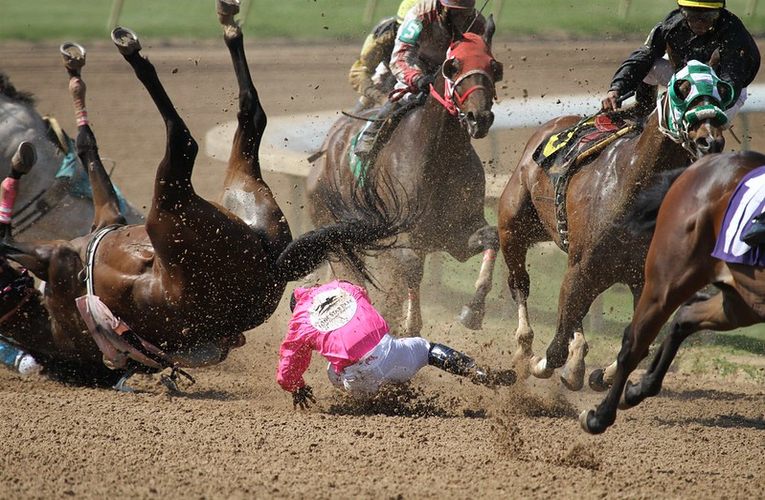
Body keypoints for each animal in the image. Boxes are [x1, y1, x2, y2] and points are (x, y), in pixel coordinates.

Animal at [307, 20, 503, 335]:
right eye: (453, 66)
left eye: (494, 66)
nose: (479, 118)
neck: (438, 157)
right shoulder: (401, 236)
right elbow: (411, 266)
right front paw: (411, 324)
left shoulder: (454, 234)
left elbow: (491, 238)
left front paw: (473, 311)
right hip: (335, 234)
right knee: (354, 279)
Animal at [497, 60, 731, 390]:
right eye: (682, 87)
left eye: (721, 89)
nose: (710, 140)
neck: (631, 189)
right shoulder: (581, 266)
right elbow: (555, 347)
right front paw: (539, 363)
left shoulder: (640, 279)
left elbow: (639, 344)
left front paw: (599, 374)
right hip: (513, 228)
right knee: (520, 284)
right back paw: (525, 348)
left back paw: (575, 362)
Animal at [581, 150, 765, 434]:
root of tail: (699, 166)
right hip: (668, 280)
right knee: (634, 343)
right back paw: (601, 416)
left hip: (744, 300)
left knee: (685, 317)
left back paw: (636, 390)